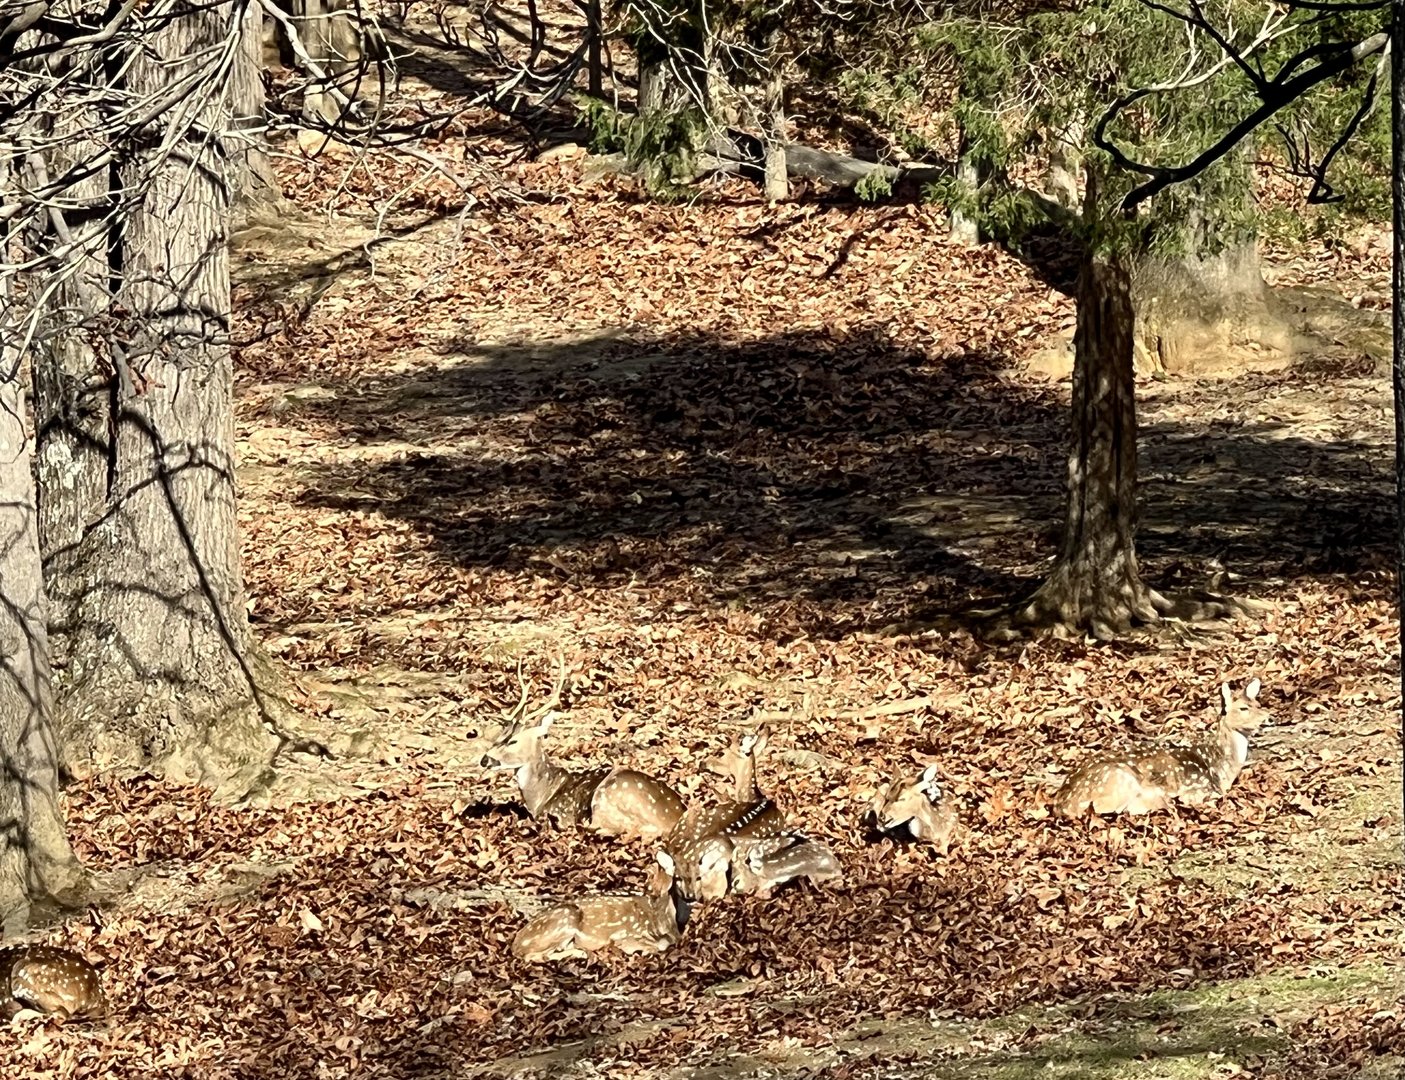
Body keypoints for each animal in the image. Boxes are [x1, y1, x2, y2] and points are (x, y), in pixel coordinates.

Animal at [479, 658, 687, 839]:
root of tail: (673, 822)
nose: (484, 759)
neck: (540, 797)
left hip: (609, 798)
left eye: (513, 741)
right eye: (499, 735)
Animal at [511, 852, 692, 962]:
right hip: (566, 917)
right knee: (537, 956)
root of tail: (515, 946)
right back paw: (581, 953)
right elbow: (655, 946)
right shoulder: (627, 938)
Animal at [1054, 679, 1270, 819]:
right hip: (1119, 781)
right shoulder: (1196, 789)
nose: (1268, 718)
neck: (1220, 769)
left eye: (1258, 704)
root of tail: (1062, 805)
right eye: (1243, 708)